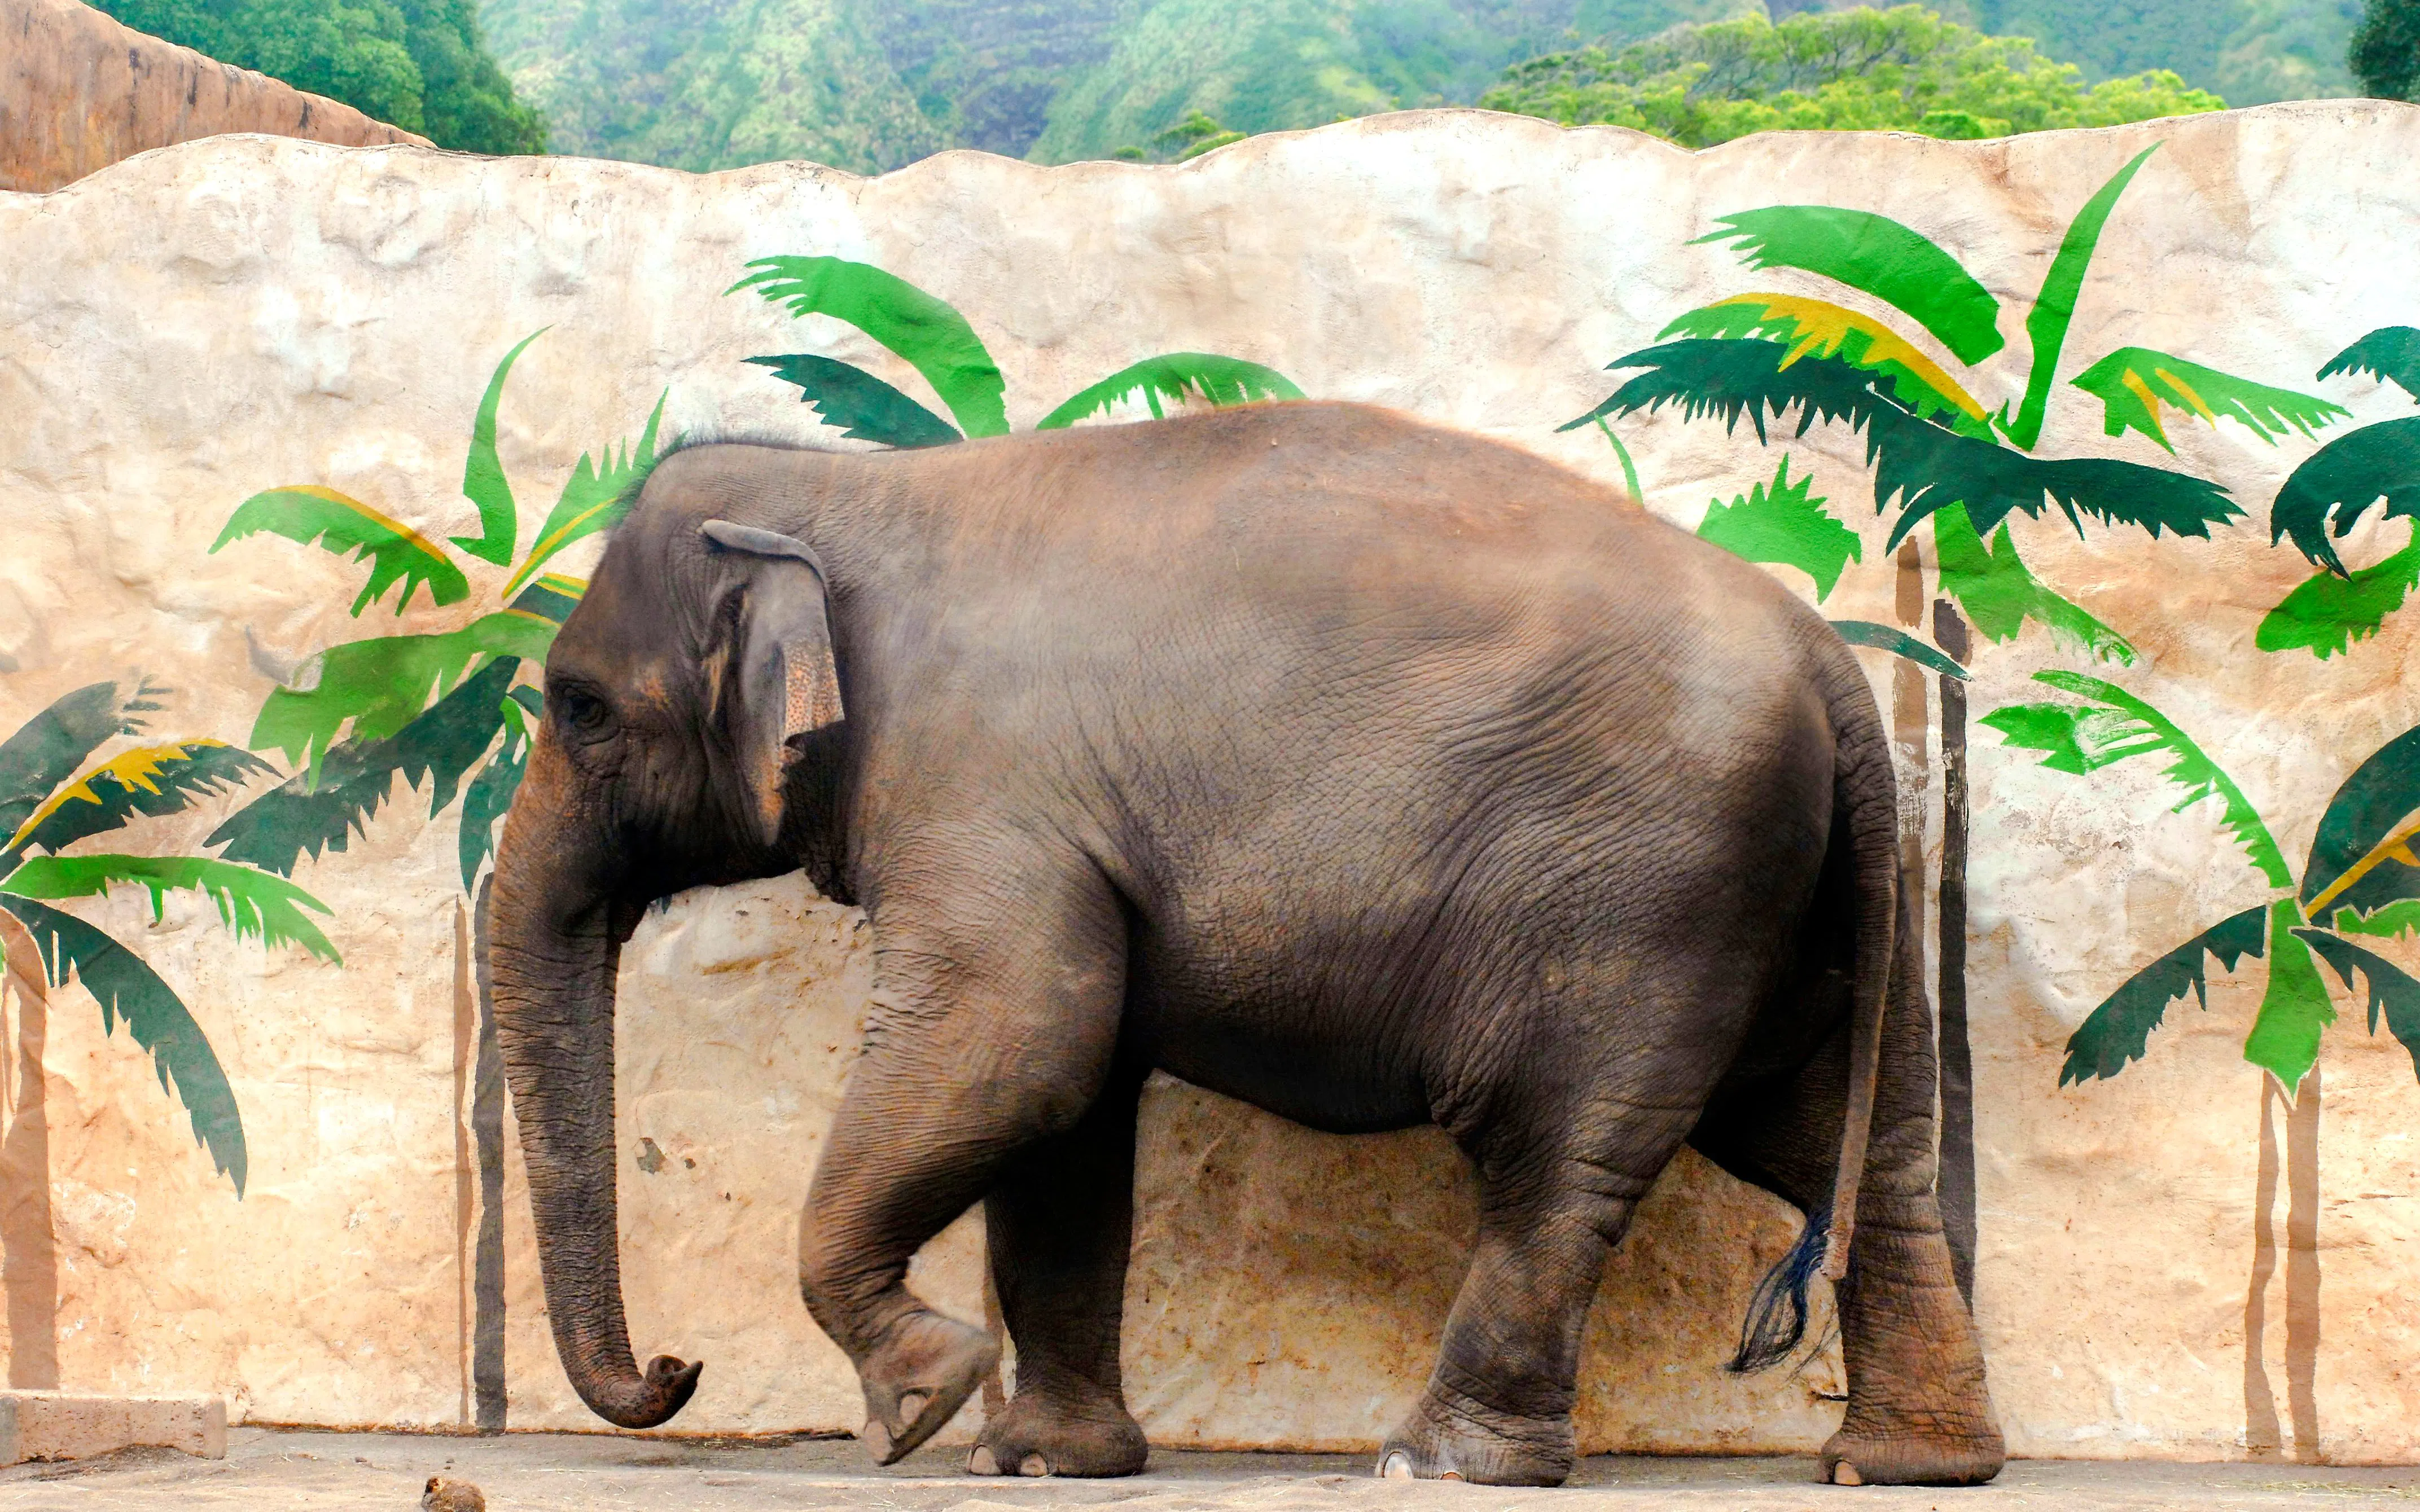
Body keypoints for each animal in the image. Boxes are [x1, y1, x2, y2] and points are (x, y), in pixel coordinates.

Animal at [487, 399, 2004, 1489]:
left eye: (580, 709)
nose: (674, 1368)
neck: (860, 487)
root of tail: (1826, 655)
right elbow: (1064, 1110)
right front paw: (1045, 1458)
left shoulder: (982, 789)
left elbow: (1018, 1044)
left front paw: (922, 1399)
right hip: (1805, 892)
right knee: (1845, 1144)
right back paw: (1902, 1464)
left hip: (1638, 893)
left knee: (1558, 1157)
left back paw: (1440, 1461)